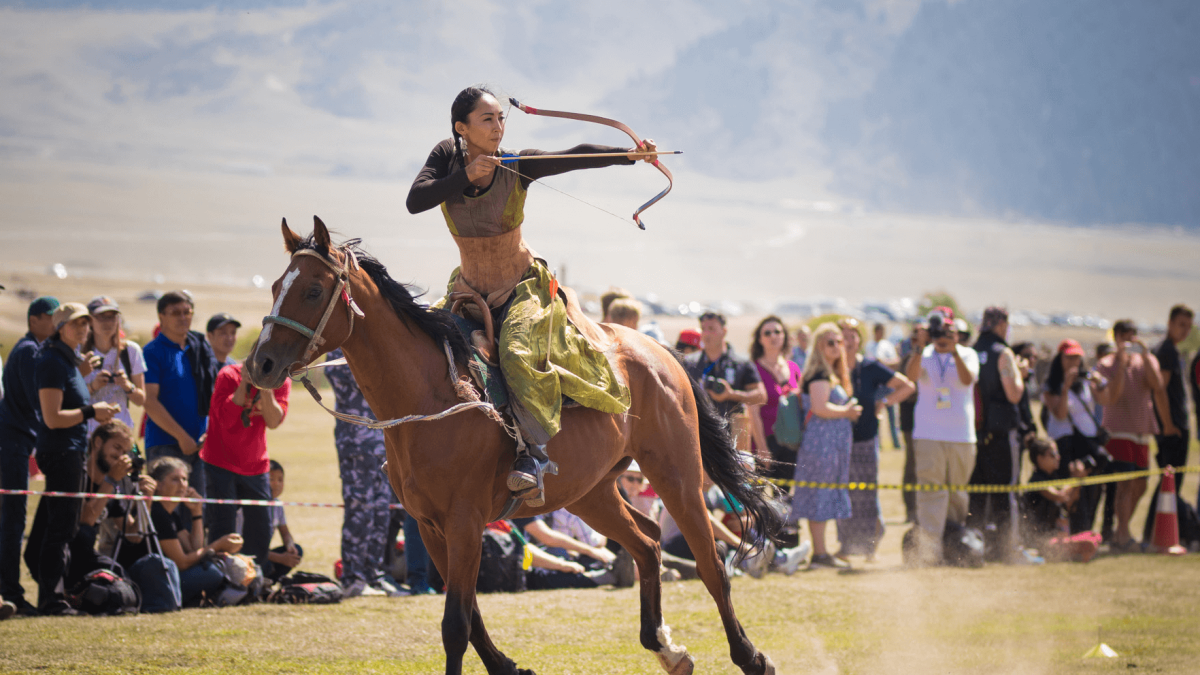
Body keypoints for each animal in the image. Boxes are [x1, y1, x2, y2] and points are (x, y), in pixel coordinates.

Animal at [247, 216, 782, 672]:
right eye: (275, 288)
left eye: (313, 290)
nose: (261, 365)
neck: (430, 397)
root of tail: (658, 351)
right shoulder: (431, 528)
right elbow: (469, 616)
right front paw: (507, 666)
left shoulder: (463, 523)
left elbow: (455, 624)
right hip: (591, 492)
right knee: (648, 542)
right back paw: (667, 649)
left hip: (677, 475)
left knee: (710, 563)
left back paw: (752, 657)